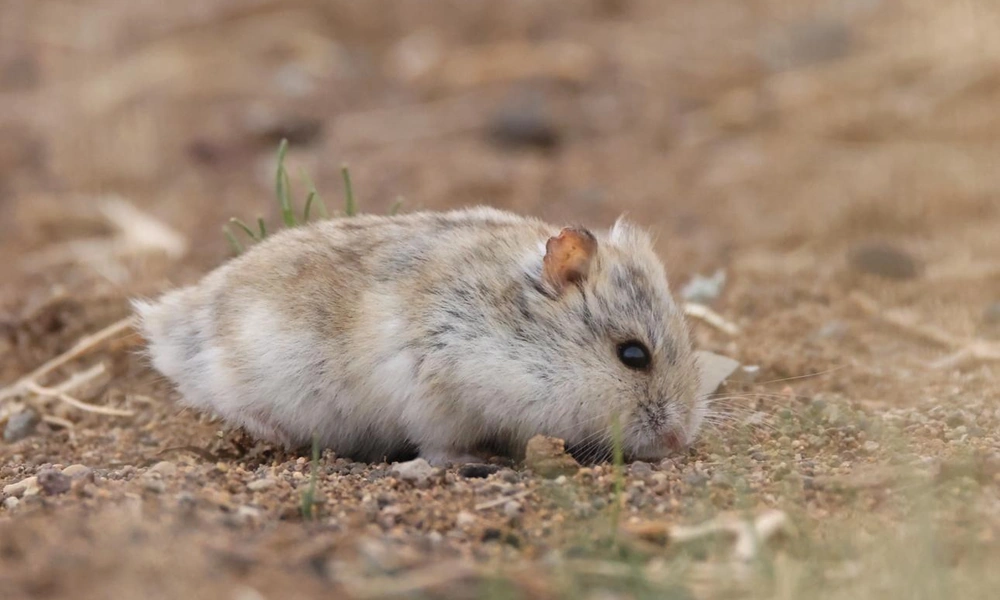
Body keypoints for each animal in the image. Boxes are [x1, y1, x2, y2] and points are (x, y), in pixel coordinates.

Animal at [134, 207, 705, 465]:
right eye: (633, 355)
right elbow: (441, 446)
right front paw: (479, 462)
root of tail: (165, 321)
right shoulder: (440, 397)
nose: (678, 441)